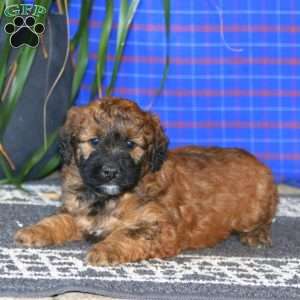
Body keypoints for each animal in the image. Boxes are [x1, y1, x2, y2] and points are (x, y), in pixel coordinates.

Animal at [14, 97, 278, 266]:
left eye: (131, 144)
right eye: (95, 141)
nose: (110, 172)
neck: (110, 197)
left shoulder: (161, 227)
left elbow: (127, 234)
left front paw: (105, 250)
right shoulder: (77, 211)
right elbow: (57, 219)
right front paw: (33, 231)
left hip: (255, 209)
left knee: (264, 220)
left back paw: (256, 235)